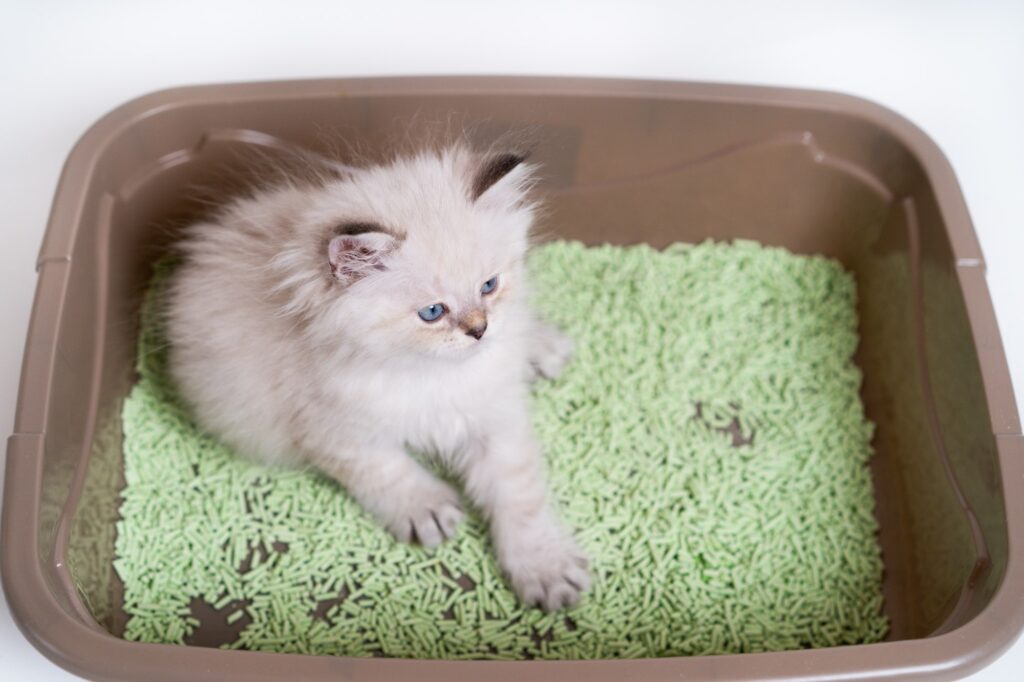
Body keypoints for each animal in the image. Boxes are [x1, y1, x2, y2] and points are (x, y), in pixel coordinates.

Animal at [163, 144, 589, 610]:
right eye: (433, 312)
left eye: (489, 286)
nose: (479, 330)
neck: (432, 375)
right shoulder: (334, 432)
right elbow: (387, 471)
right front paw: (429, 511)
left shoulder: (494, 418)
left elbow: (519, 496)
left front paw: (545, 569)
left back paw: (544, 347)